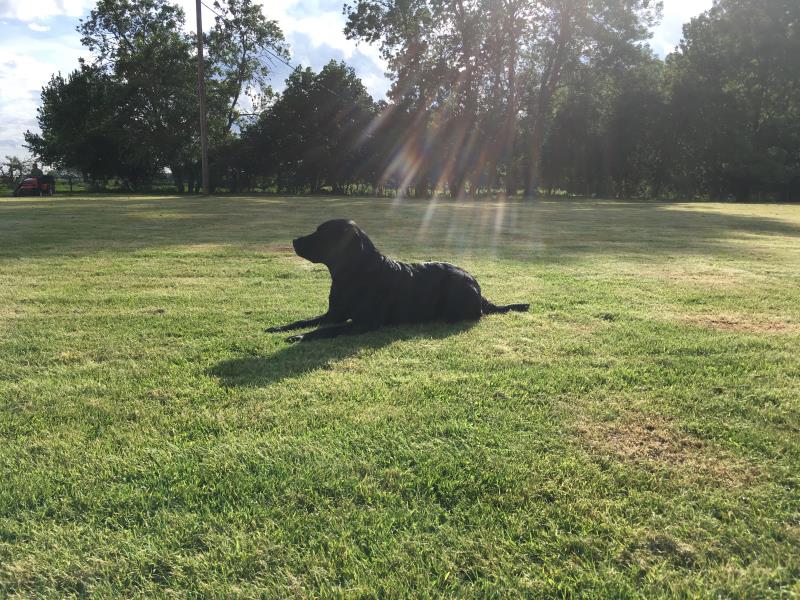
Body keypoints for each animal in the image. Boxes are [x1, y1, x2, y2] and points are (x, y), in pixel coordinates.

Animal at [268, 220, 532, 342]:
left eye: (322, 233)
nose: (294, 240)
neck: (354, 273)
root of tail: (478, 288)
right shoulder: (334, 314)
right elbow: (305, 321)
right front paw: (280, 328)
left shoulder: (364, 323)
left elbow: (326, 331)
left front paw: (299, 337)